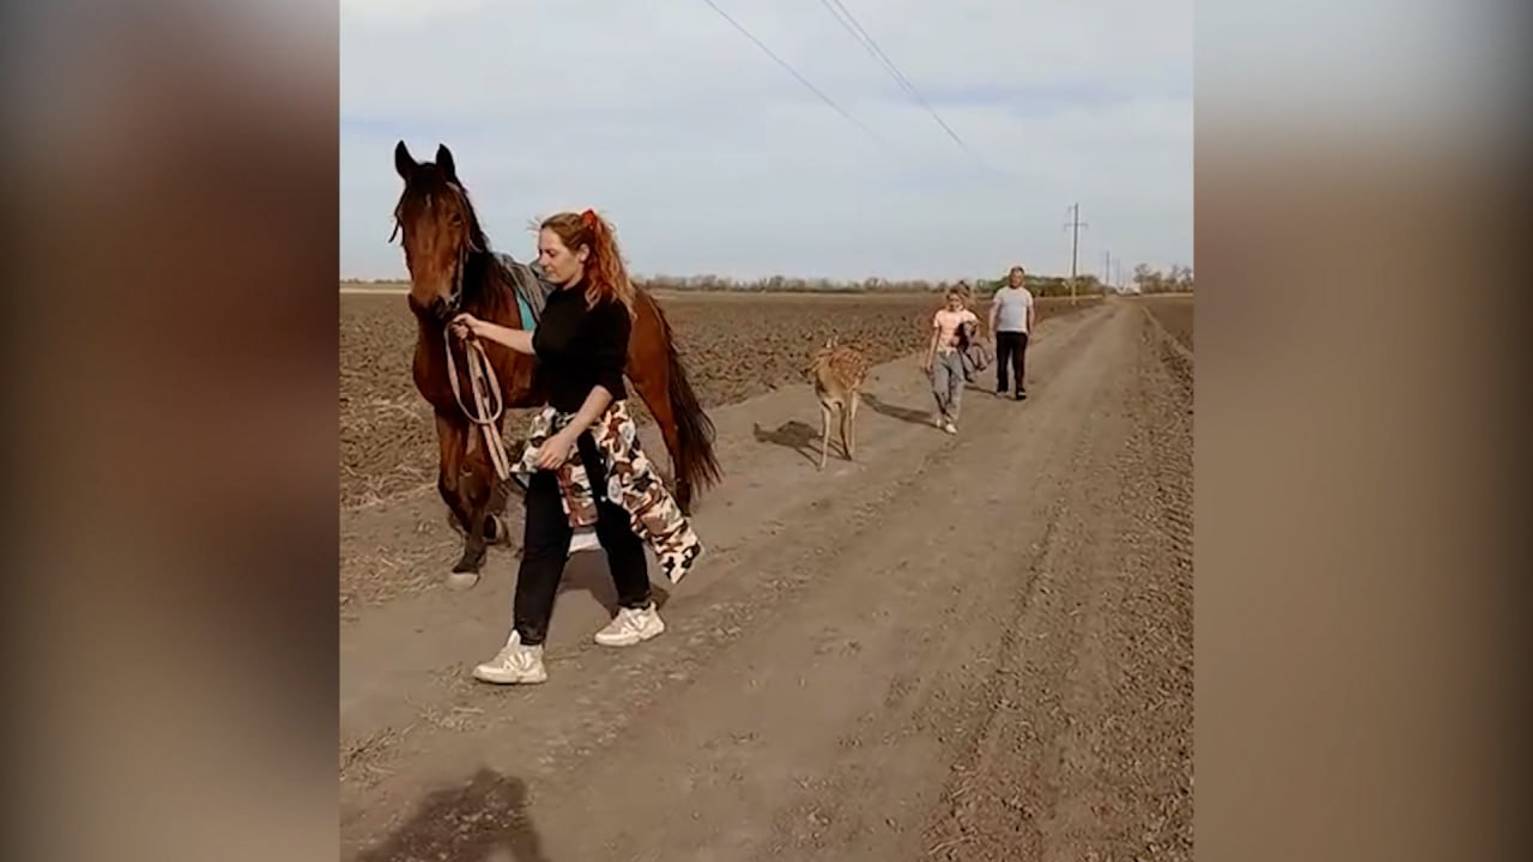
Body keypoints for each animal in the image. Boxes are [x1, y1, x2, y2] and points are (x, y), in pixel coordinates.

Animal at [386, 142, 714, 576]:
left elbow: (481, 474)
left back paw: (684, 499)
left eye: (454, 217)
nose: (429, 303)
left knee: (672, 432)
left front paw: (475, 549)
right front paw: (487, 529)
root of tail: (639, 296)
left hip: (650, 380)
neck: (453, 340)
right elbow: (449, 483)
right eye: (402, 217)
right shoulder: (448, 411)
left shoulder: (491, 411)